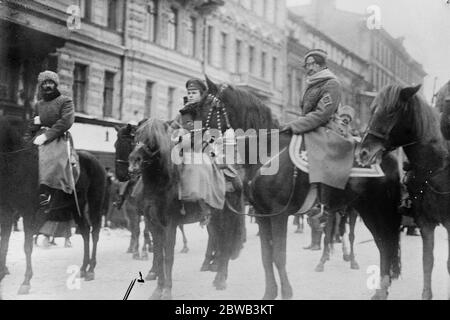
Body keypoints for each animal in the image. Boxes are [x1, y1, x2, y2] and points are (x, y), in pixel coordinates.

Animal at [0, 115, 106, 296]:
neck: (16, 164)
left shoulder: (28, 213)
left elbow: (27, 246)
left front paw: (26, 281)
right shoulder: (7, 212)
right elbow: (4, 243)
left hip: (94, 203)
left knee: (95, 233)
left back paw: (91, 269)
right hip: (75, 207)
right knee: (85, 232)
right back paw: (83, 268)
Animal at [125, 119, 246, 298]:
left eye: (153, 141)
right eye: (136, 136)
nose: (134, 162)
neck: (161, 184)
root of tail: (233, 173)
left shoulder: (170, 224)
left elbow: (168, 257)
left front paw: (167, 291)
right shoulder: (153, 224)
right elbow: (158, 255)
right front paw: (157, 290)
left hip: (228, 219)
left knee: (225, 244)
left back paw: (220, 281)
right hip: (214, 220)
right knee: (218, 241)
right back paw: (218, 276)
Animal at [193, 77, 400, 300]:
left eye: (205, 105)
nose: (188, 138)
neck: (268, 152)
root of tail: (385, 156)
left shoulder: (278, 214)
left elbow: (278, 255)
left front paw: (286, 293)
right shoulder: (261, 214)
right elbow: (266, 256)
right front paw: (270, 293)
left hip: (374, 210)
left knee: (384, 244)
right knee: (382, 244)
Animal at [358, 84, 450, 300]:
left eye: (391, 111)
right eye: (373, 109)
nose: (364, 152)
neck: (434, 169)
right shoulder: (425, 223)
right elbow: (427, 261)